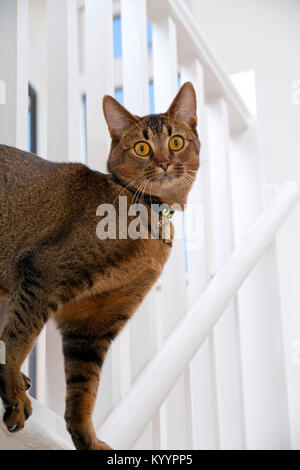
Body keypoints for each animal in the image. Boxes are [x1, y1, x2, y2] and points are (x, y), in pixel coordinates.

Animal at [0, 82, 202, 450]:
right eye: (141, 148)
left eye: (176, 142)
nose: (165, 163)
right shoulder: (43, 272)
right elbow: (19, 337)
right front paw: (11, 387)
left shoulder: (93, 322)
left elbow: (85, 389)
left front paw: (88, 439)